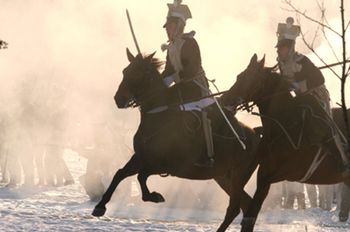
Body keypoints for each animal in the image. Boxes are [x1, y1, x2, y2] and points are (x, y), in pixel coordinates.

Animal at [91, 48, 262, 231]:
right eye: (125, 71)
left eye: (138, 73)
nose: (119, 99)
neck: (159, 116)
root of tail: (255, 134)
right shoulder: (141, 157)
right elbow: (120, 173)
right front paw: (100, 206)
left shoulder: (168, 165)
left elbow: (141, 176)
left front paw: (154, 196)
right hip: (223, 177)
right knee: (245, 205)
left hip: (238, 176)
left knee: (237, 207)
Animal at [221, 53, 350, 231]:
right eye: (239, 76)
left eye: (250, 77)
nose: (225, 99)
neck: (283, 123)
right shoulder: (260, 169)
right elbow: (240, 210)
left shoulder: (274, 175)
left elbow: (249, 215)